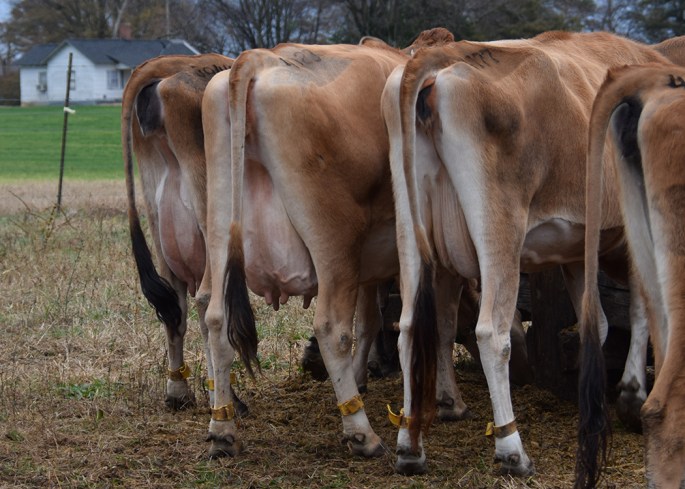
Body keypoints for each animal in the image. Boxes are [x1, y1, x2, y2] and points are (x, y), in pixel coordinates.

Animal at [382, 31, 671, 476]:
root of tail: (441, 53)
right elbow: (643, 310)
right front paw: (631, 394)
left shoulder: (577, 251)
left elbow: (601, 323)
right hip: (499, 226)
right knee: (491, 333)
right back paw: (511, 449)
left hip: (411, 232)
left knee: (412, 328)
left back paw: (410, 447)